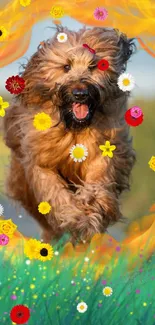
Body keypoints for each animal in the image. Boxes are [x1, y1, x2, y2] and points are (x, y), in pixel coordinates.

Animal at [3, 25, 136, 243]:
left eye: (94, 66)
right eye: (66, 67)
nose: (80, 93)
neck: (73, 128)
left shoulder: (104, 150)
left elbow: (99, 179)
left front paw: (90, 209)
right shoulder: (40, 160)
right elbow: (54, 190)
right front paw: (75, 217)